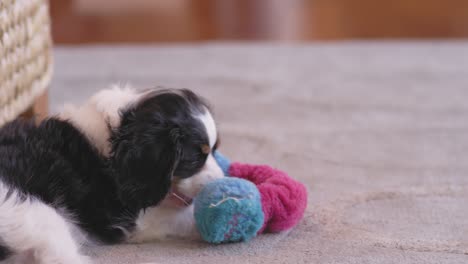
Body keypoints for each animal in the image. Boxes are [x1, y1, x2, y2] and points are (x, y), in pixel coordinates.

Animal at [0, 85, 225, 262]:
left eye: (214, 150)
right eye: (195, 159)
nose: (221, 180)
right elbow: (184, 217)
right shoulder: (126, 218)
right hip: (39, 214)